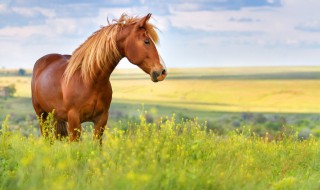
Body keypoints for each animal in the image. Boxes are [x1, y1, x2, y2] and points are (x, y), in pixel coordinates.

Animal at [31, 13, 168, 142]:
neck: (89, 80)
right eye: (147, 41)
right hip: (42, 116)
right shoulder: (74, 121)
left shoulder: (101, 120)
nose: (162, 72)